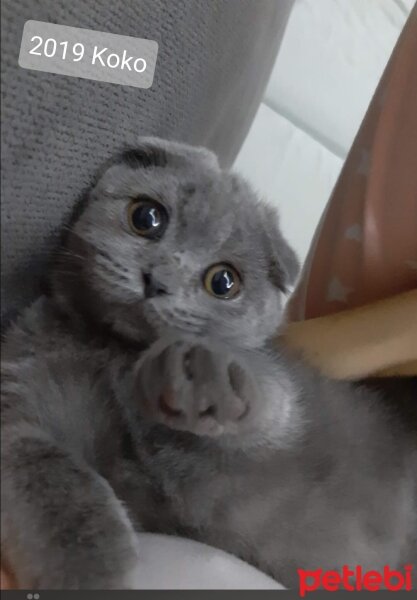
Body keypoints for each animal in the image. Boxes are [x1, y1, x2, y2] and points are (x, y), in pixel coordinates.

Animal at [1, 137, 414, 592]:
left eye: (223, 282)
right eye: (147, 217)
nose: (157, 280)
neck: (111, 351)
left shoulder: (275, 410)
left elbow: (270, 402)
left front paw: (196, 374)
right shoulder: (22, 413)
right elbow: (65, 498)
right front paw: (91, 580)